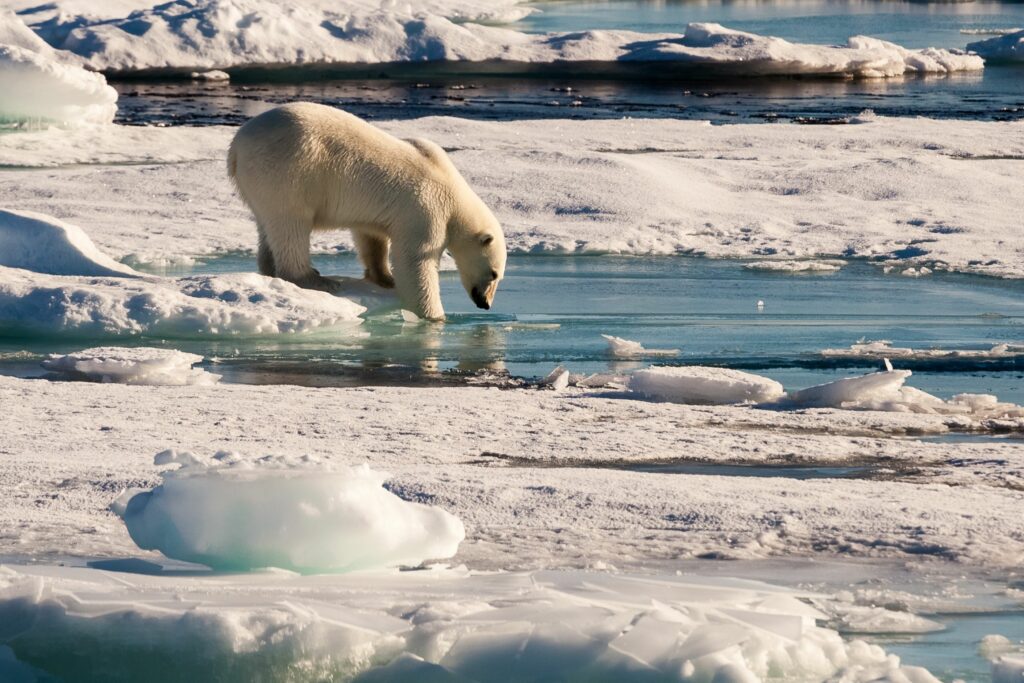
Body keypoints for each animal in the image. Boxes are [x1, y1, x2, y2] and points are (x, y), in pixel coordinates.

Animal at [229, 102, 507, 321]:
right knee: (291, 225)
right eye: (494, 273)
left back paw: (270, 269)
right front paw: (435, 316)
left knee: (267, 226)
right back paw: (316, 279)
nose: (485, 304)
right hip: (290, 172)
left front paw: (385, 278)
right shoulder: (426, 210)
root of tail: (236, 148)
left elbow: (371, 238)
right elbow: (415, 261)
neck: (449, 184)